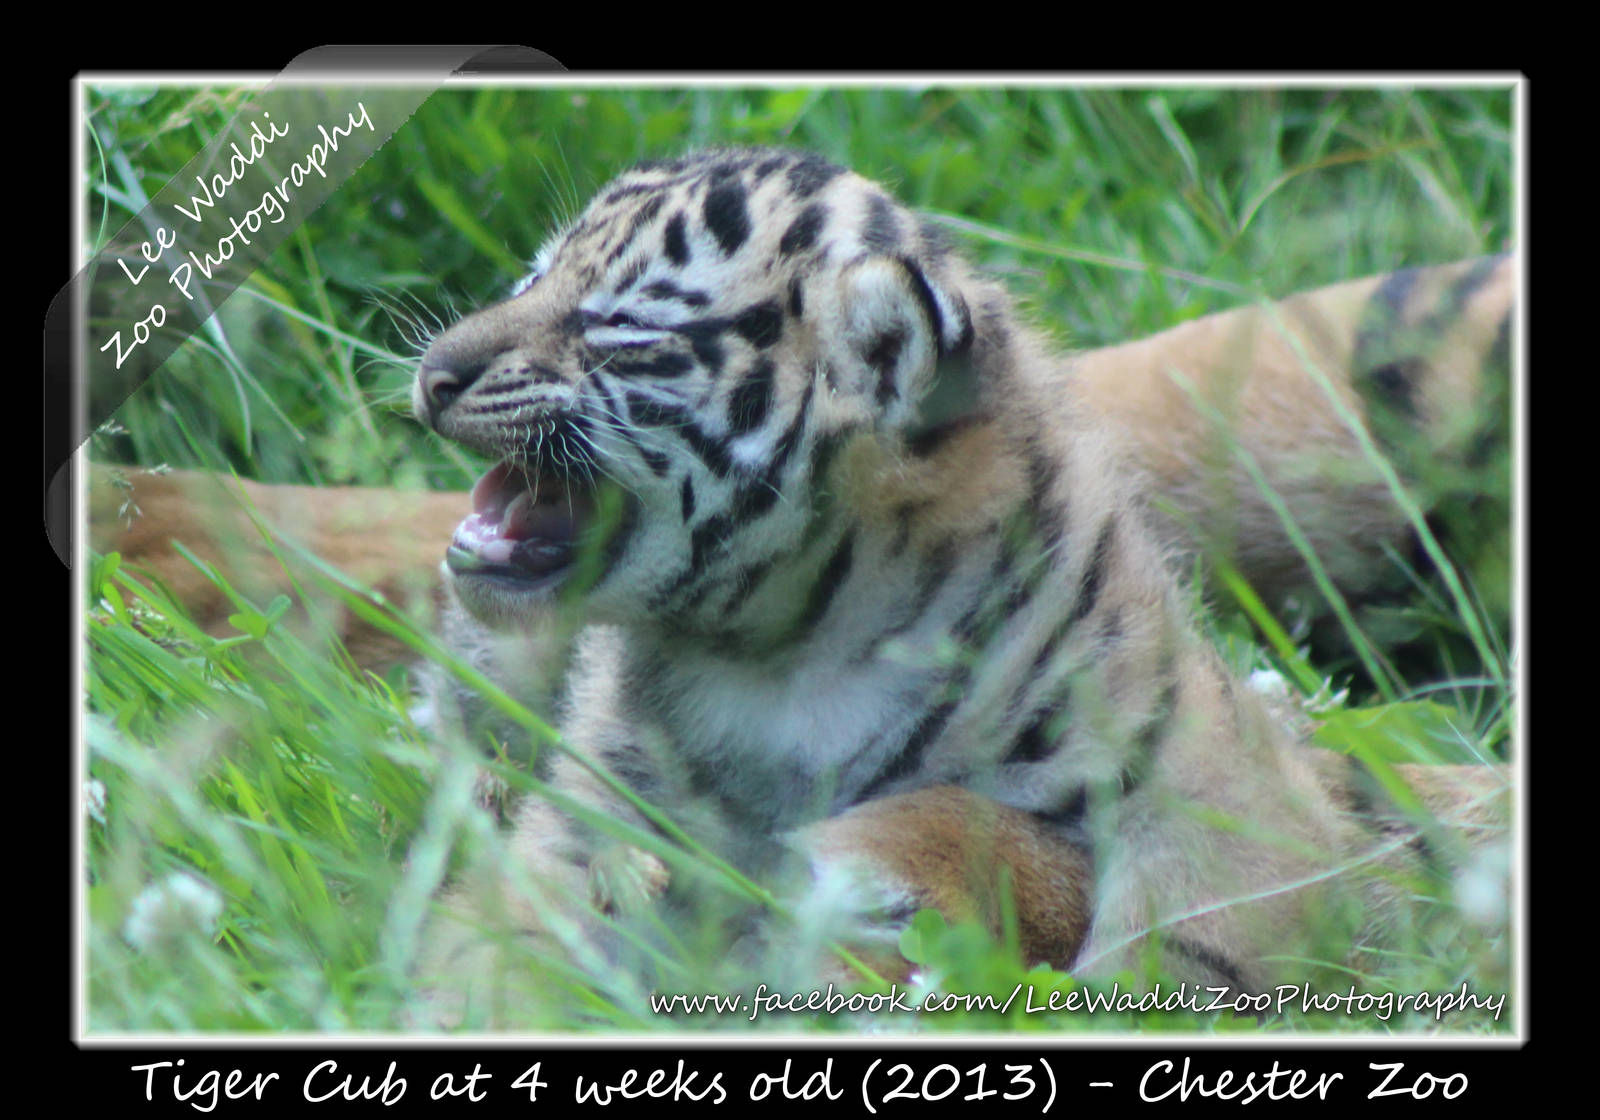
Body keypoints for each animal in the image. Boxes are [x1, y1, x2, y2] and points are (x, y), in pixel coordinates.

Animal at [383, 146, 1513, 1020]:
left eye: (616, 329)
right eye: (531, 279)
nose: (433, 372)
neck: (784, 645)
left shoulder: (1203, 761)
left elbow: (1200, 925)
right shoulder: (588, 819)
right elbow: (505, 945)